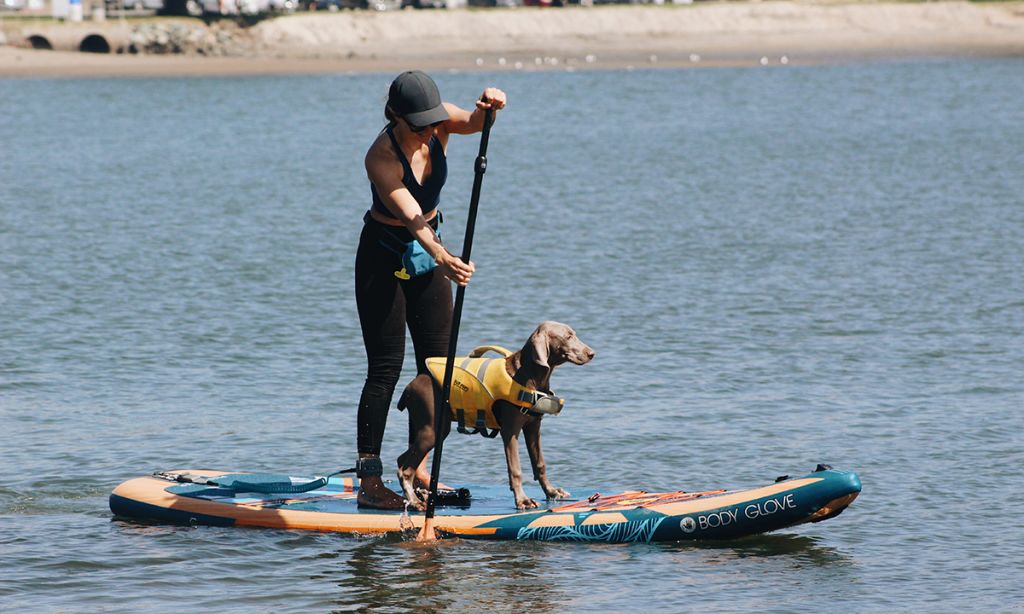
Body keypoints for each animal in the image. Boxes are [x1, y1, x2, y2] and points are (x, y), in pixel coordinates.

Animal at [395, 319, 598, 511]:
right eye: (568, 336)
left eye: (574, 334)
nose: (591, 353)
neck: (528, 375)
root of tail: (410, 386)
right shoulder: (510, 430)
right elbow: (515, 469)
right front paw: (523, 500)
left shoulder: (533, 427)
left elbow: (540, 463)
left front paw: (552, 491)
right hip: (433, 428)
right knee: (405, 470)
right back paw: (415, 501)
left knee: (401, 460)